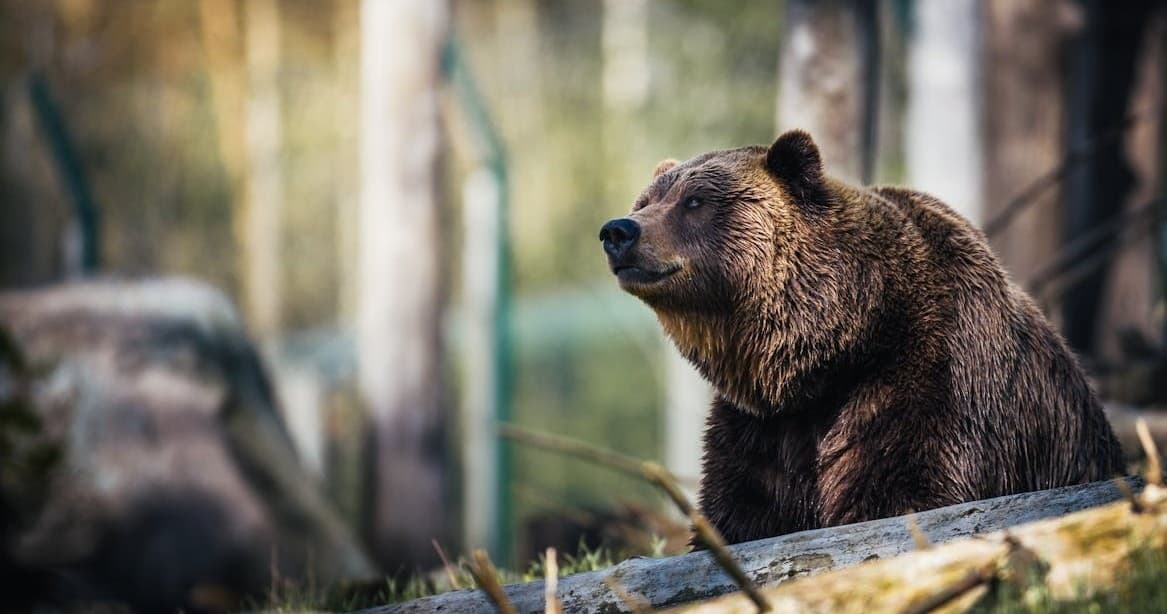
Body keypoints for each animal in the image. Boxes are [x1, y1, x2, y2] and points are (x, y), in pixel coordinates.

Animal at [599, 130, 1126, 545]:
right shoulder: (761, 428)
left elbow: (902, 491)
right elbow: (741, 512)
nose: (618, 230)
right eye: (645, 201)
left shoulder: (930, 380)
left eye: (695, 202)